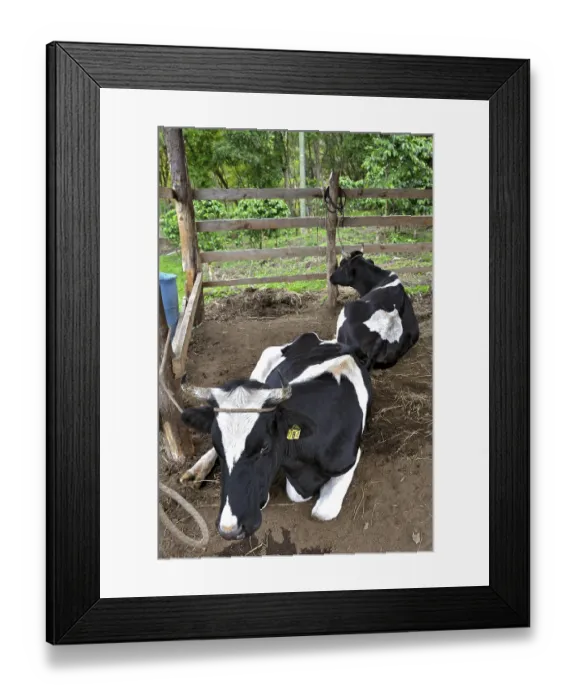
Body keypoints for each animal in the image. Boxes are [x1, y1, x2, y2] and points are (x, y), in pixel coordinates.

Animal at [179, 332, 372, 541]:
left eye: (265, 447)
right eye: (217, 445)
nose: (230, 529)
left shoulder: (350, 459)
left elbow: (322, 512)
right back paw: (197, 470)